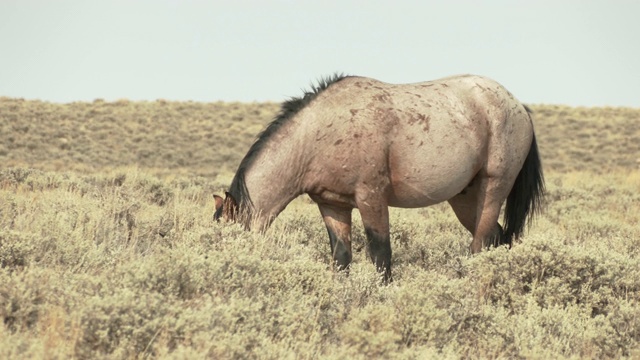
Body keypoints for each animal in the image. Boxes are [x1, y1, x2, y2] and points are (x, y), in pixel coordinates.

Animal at [212, 73, 544, 282]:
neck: (319, 133)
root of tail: (517, 105)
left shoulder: (371, 199)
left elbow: (381, 255)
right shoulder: (333, 205)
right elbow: (341, 258)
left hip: (493, 189)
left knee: (480, 244)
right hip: (464, 199)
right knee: (495, 239)